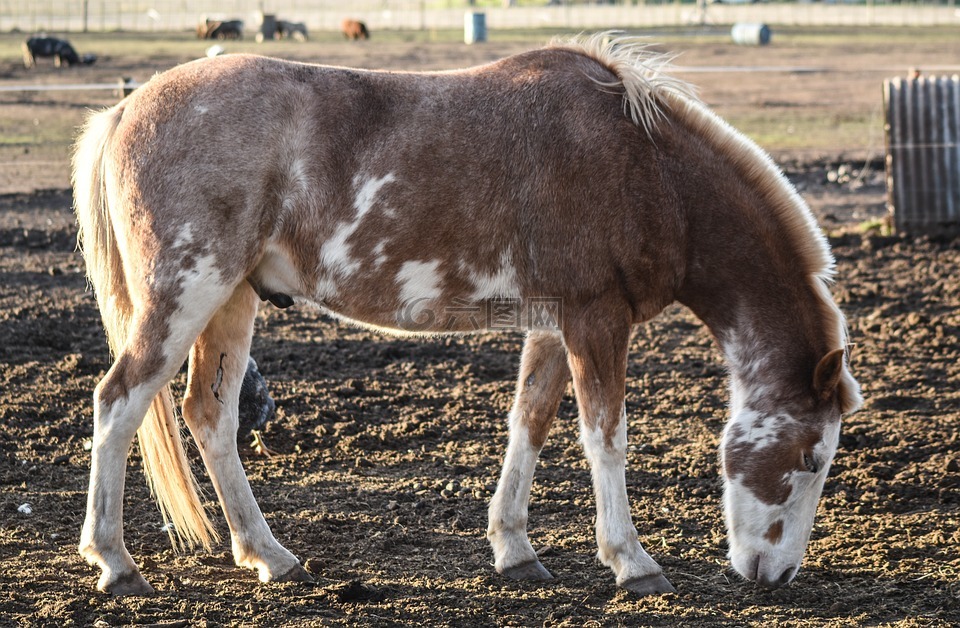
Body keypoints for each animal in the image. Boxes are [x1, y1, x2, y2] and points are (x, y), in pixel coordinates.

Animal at [71, 35, 860, 600]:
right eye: (814, 457)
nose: (776, 576)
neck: (644, 169)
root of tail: (126, 109)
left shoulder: (555, 324)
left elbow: (529, 424)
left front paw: (514, 550)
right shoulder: (597, 322)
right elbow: (605, 438)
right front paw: (633, 563)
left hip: (231, 300)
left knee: (209, 416)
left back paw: (268, 555)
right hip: (185, 294)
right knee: (119, 401)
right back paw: (116, 563)